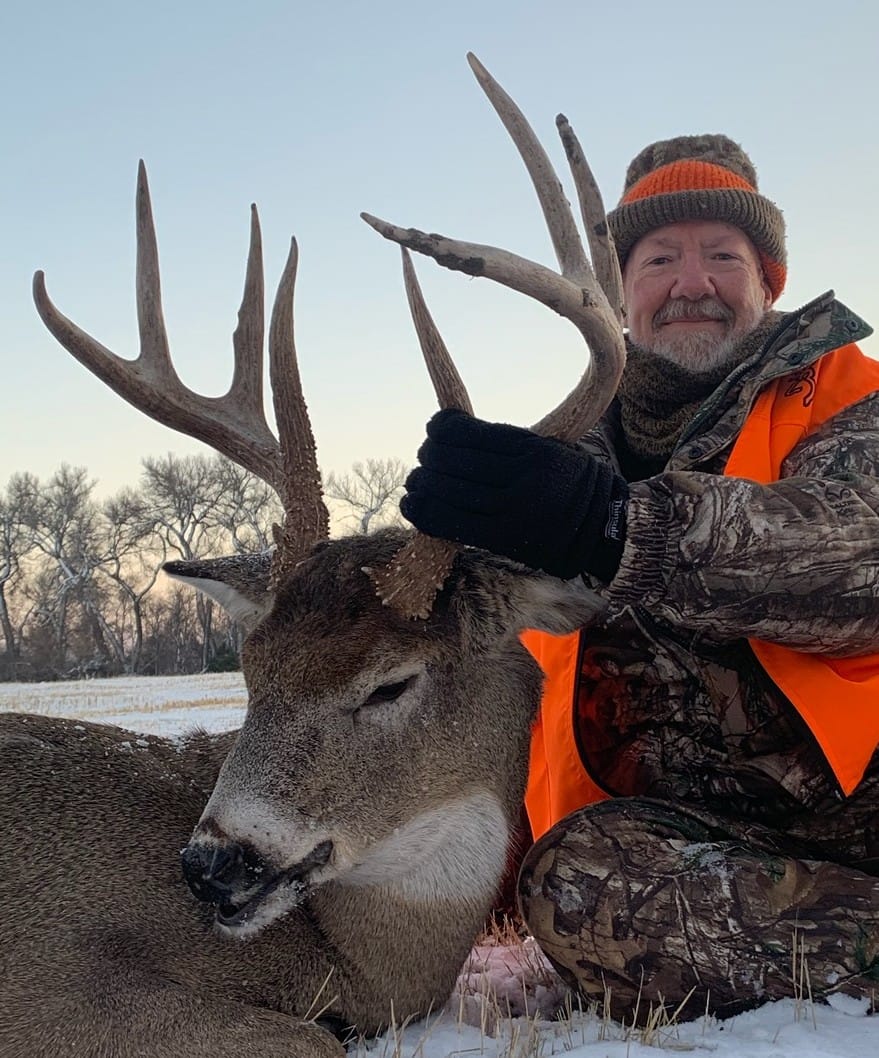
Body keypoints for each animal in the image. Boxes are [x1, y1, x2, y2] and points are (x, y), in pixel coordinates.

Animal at [0, 55, 624, 1058]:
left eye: (390, 682)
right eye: (250, 671)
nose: (212, 863)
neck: (358, 961)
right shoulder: (57, 987)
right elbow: (312, 1038)